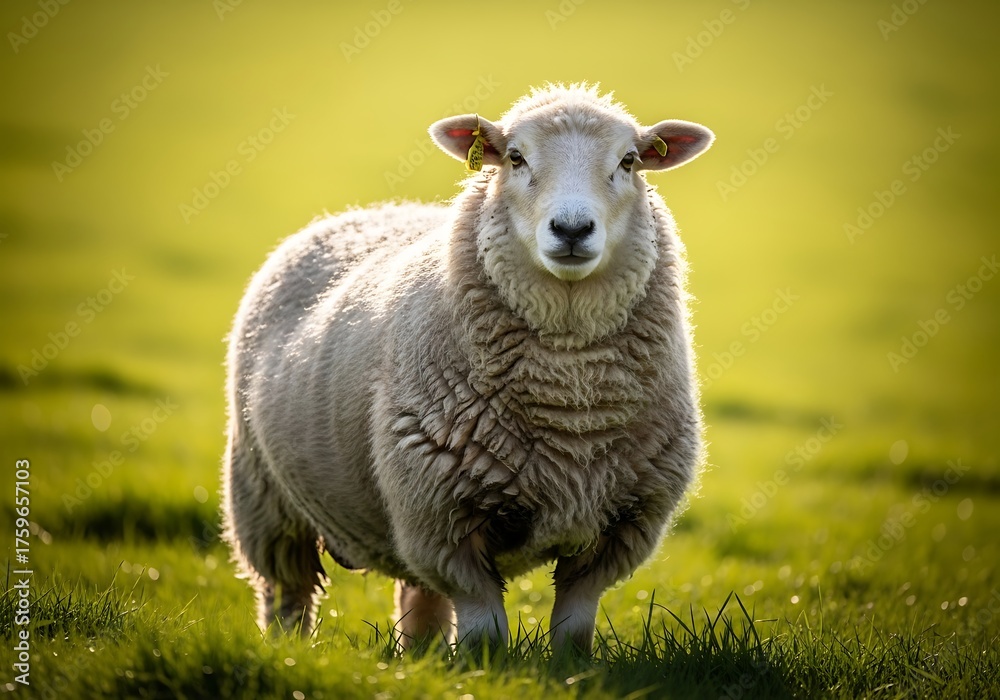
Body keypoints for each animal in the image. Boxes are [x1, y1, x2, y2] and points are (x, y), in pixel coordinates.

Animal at [222, 83, 714, 656]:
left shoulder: (621, 526)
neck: (570, 406)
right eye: (516, 157)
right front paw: (484, 668)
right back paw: (288, 651)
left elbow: (574, 627)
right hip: (264, 496)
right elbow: (485, 630)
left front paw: (572, 666)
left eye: (629, 161)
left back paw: (420, 656)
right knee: (287, 593)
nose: (572, 229)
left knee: (418, 599)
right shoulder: (441, 520)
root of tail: (357, 213)